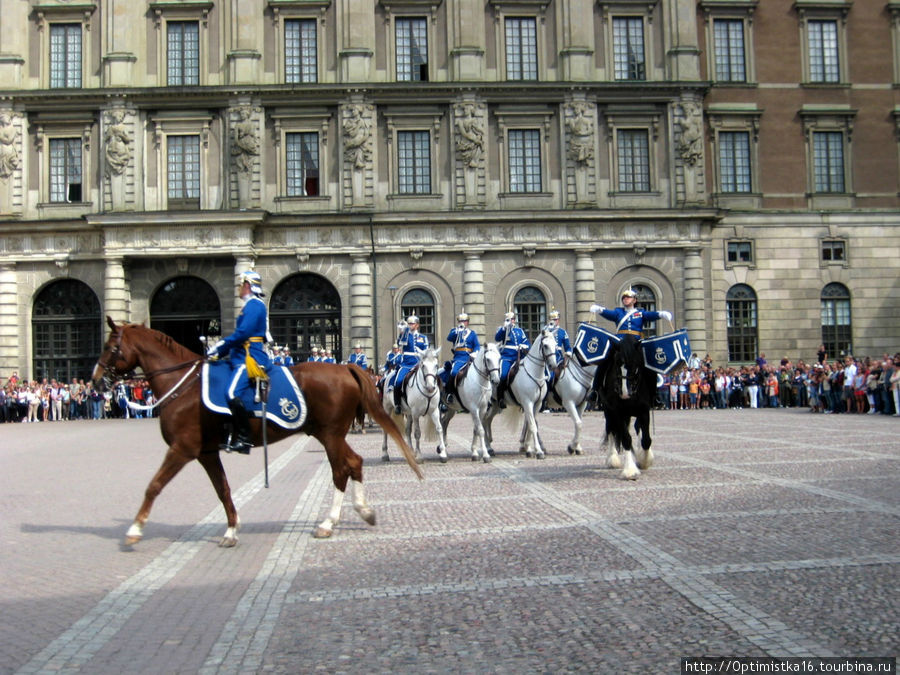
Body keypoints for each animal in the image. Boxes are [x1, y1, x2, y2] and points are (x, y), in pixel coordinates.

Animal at [93, 320, 424, 548]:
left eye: (110, 347)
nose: (96, 381)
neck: (184, 386)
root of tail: (345, 369)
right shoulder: (206, 452)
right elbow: (223, 489)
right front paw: (231, 530)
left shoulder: (181, 449)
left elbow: (154, 485)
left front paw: (135, 529)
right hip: (329, 434)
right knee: (353, 464)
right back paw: (363, 512)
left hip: (330, 435)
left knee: (344, 468)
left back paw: (330, 523)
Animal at [486, 328, 556, 460]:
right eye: (545, 345)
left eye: (556, 344)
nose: (553, 365)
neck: (534, 372)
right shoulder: (527, 403)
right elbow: (532, 425)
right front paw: (538, 451)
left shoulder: (537, 404)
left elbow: (530, 425)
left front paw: (528, 448)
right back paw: (487, 447)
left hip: (495, 405)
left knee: (487, 420)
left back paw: (489, 447)